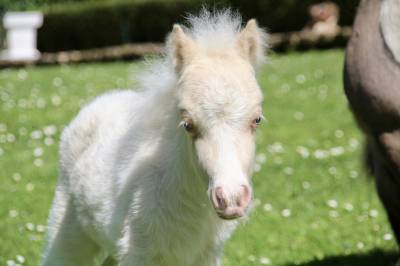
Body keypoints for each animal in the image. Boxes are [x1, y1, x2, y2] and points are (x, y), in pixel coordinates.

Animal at [41, 9, 268, 266]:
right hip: (67, 231)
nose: (231, 199)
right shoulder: (139, 253)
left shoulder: (206, 256)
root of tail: (102, 100)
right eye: (188, 124)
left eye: (257, 119)